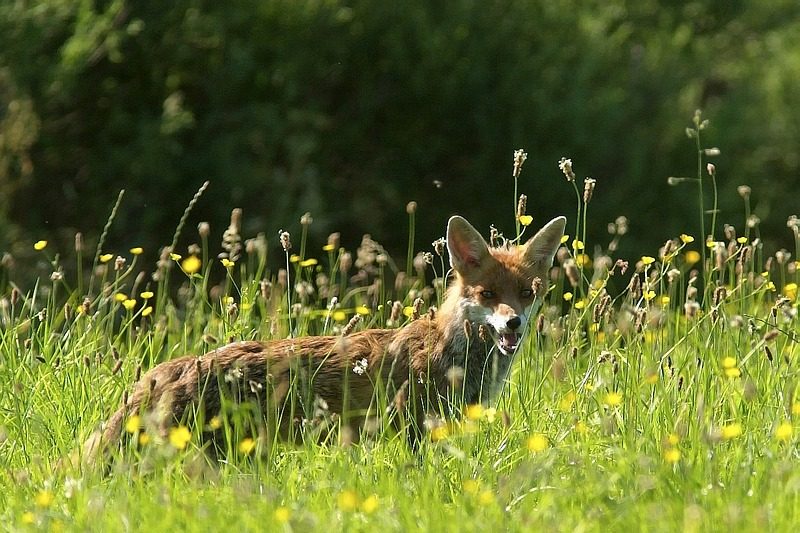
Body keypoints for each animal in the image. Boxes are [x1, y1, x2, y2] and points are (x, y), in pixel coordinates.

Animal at [83, 214, 564, 460]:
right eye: (488, 295)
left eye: (526, 293)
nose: (513, 324)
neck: (453, 353)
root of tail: (165, 372)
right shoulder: (414, 430)